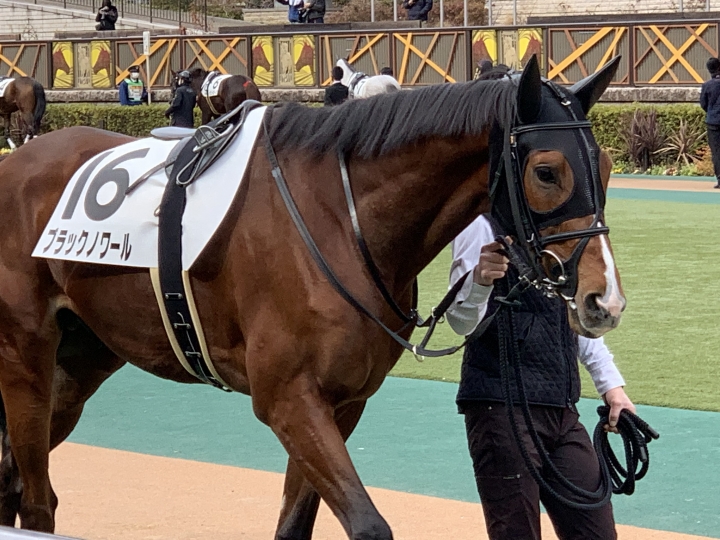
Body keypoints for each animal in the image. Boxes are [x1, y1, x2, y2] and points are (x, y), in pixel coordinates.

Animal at [0, 55, 624, 539]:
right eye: (547, 171)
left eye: (607, 165)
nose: (605, 301)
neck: (340, 218)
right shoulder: (287, 398)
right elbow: (369, 524)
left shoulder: (341, 403)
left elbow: (295, 523)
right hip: (26, 355)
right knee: (34, 498)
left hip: (81, 360)